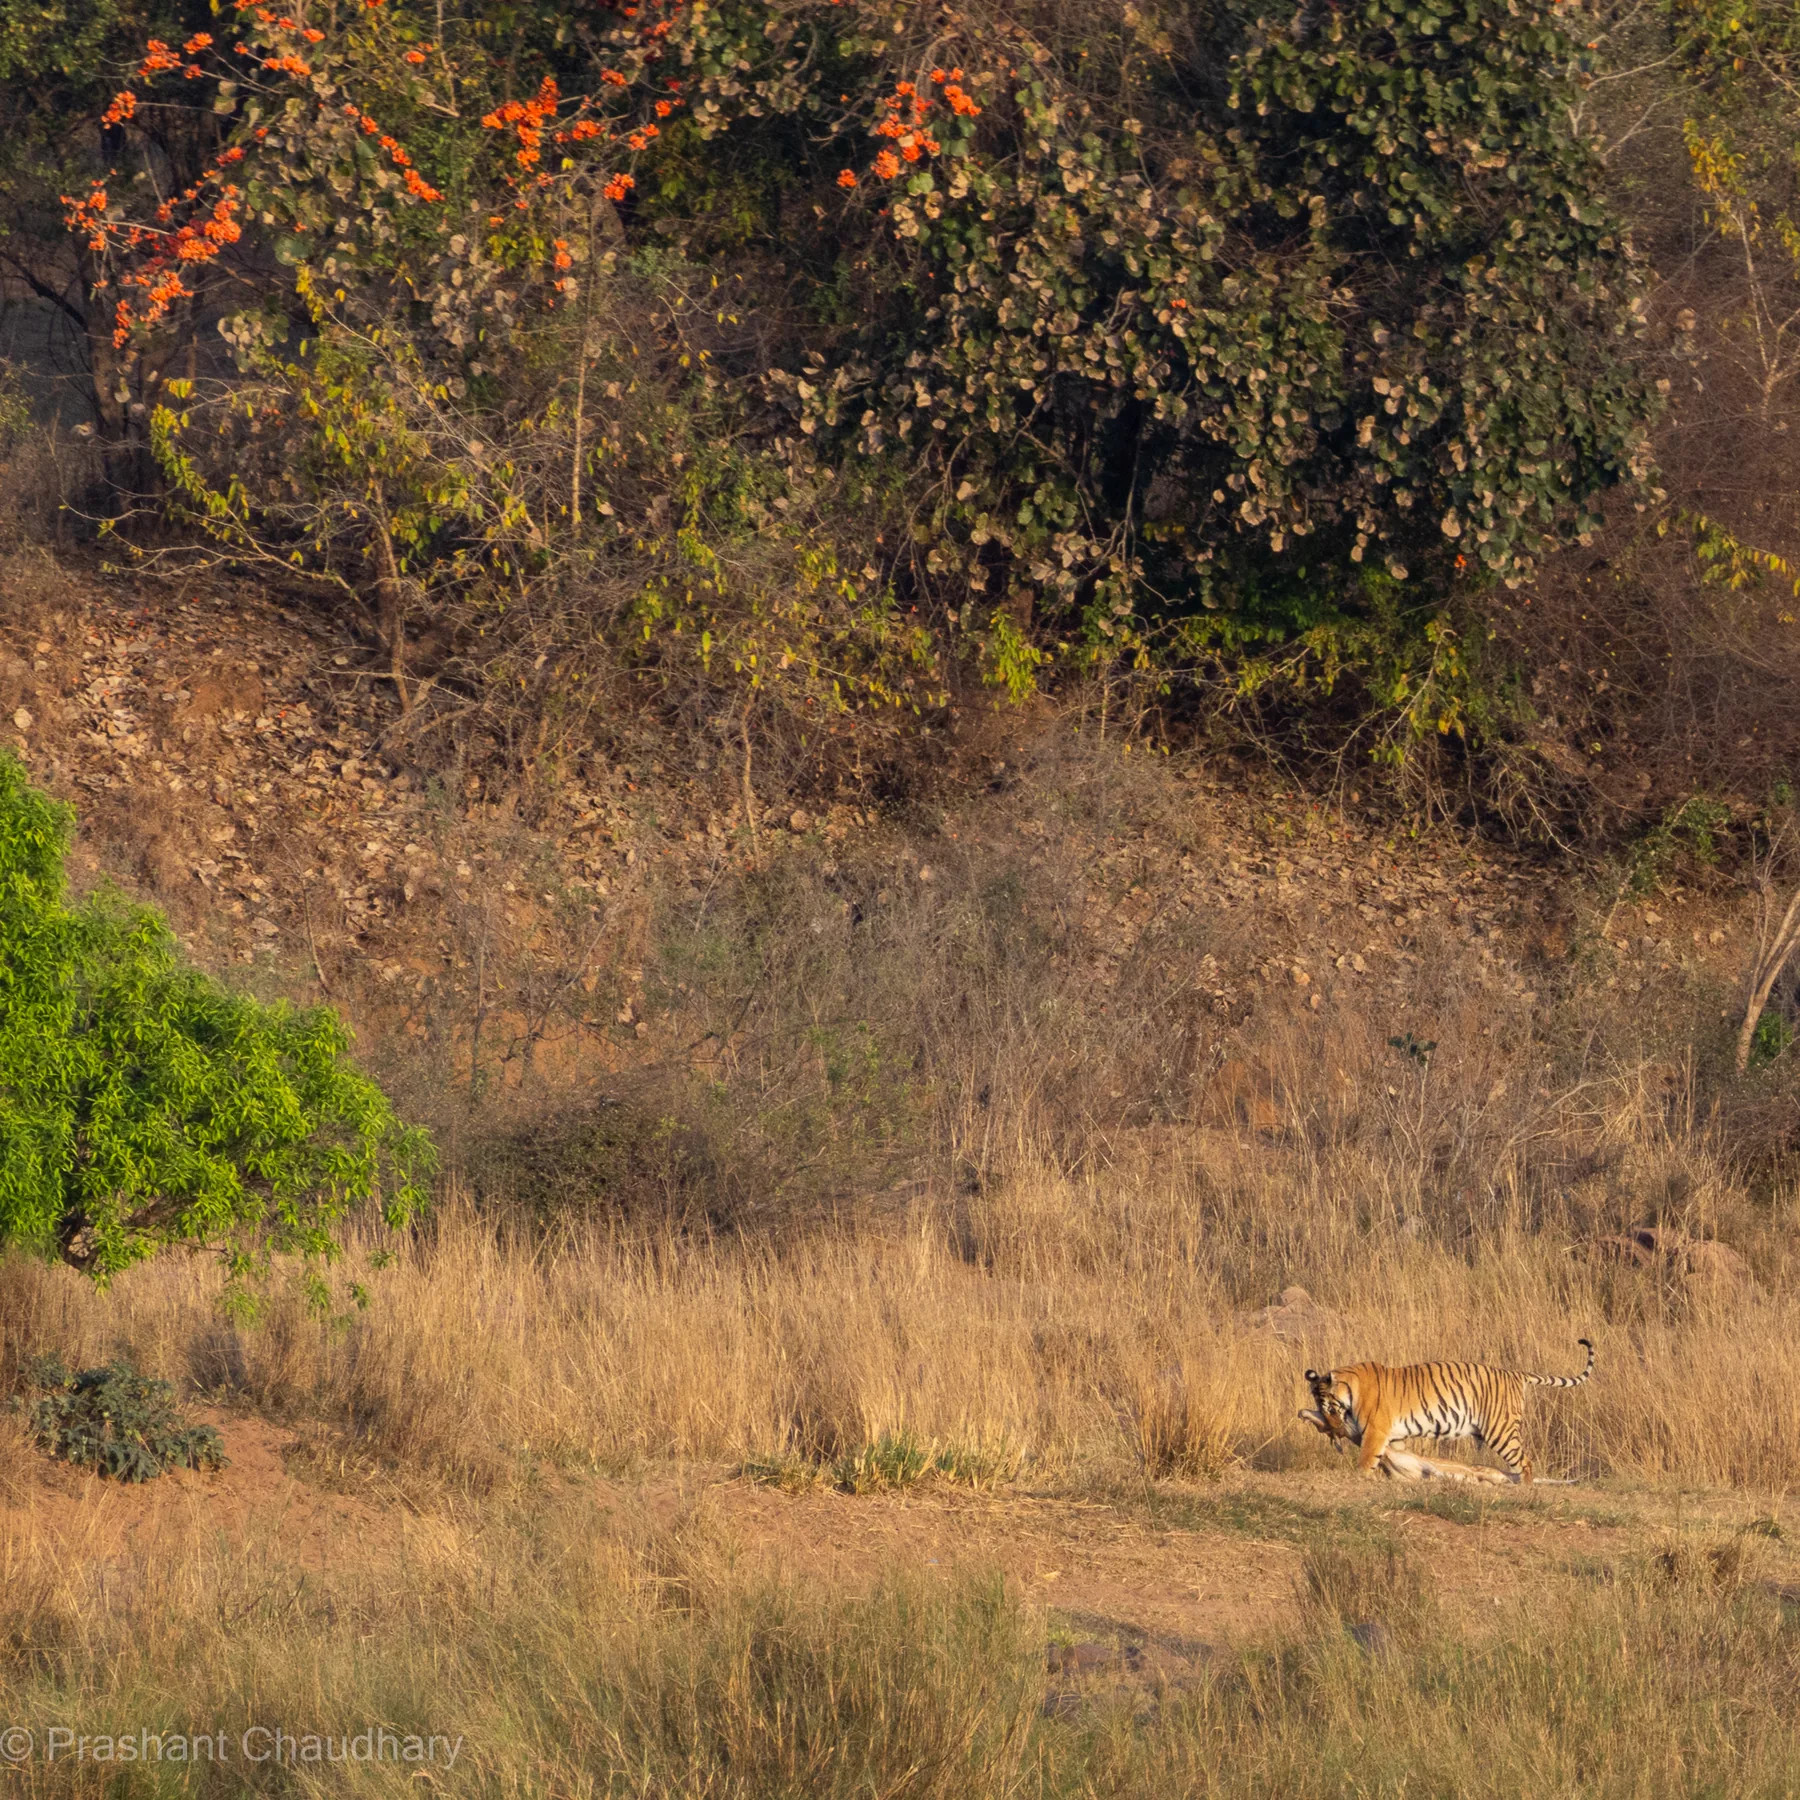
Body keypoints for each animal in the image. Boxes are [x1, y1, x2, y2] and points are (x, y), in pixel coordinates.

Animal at [1300, 1339, 1594, 1483]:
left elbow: (1366, 1457)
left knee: (1525, 1462)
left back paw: (1525, 1489)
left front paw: (1360, 1476)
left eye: (1329, 1407)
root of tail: (1515, 1373)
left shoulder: (1376, 1430)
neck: (1351, 1385)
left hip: (1500, 1431)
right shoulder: (1395, 1436)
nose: (1333, 1427)